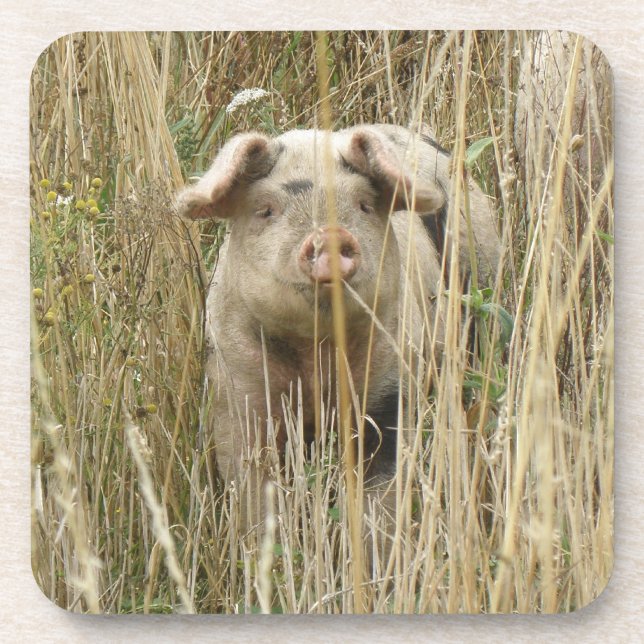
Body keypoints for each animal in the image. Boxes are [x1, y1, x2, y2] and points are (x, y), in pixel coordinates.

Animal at [177, 124, 500, 547]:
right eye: (266, 210)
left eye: (363, 204)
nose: (329, 234)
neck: (315, 355)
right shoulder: (236, 391)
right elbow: (254, 492)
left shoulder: (391, 387)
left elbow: (380, 498)